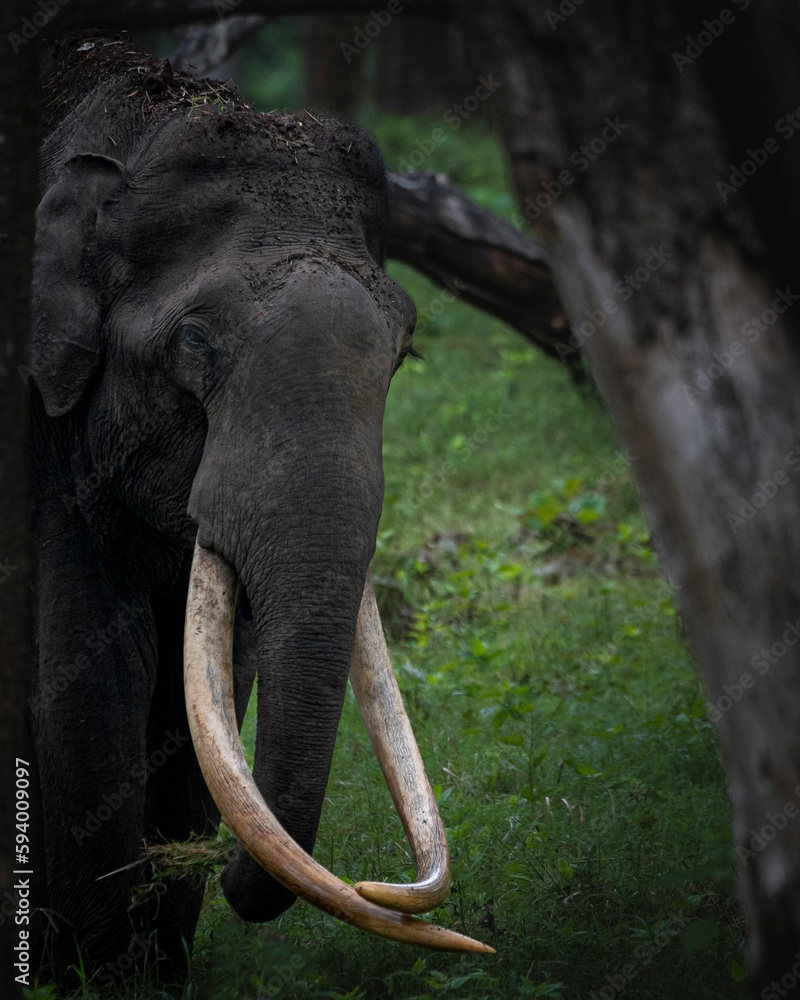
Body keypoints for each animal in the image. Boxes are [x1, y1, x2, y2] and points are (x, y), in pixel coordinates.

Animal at [28, 28, 492, 991]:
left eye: (404, 351)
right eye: (195, 343)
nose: (376, 883)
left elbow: (203, 680)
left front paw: (154, 975)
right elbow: (91, 669)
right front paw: (92, 980)